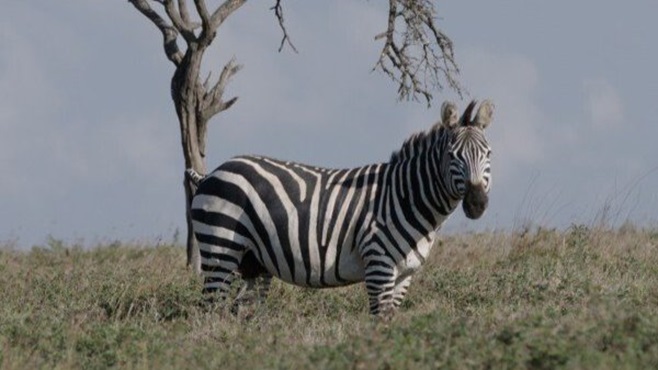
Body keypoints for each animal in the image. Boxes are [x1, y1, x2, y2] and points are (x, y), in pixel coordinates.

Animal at [187, 99, 490, 318]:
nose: (477, 204)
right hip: (221, 250)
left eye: (488, 154)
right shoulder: (379, 264)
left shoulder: (404, 275)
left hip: (254, 263)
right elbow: (380, 322)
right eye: (452, 156)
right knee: (209, 311)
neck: (407, 197)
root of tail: (212, 173)